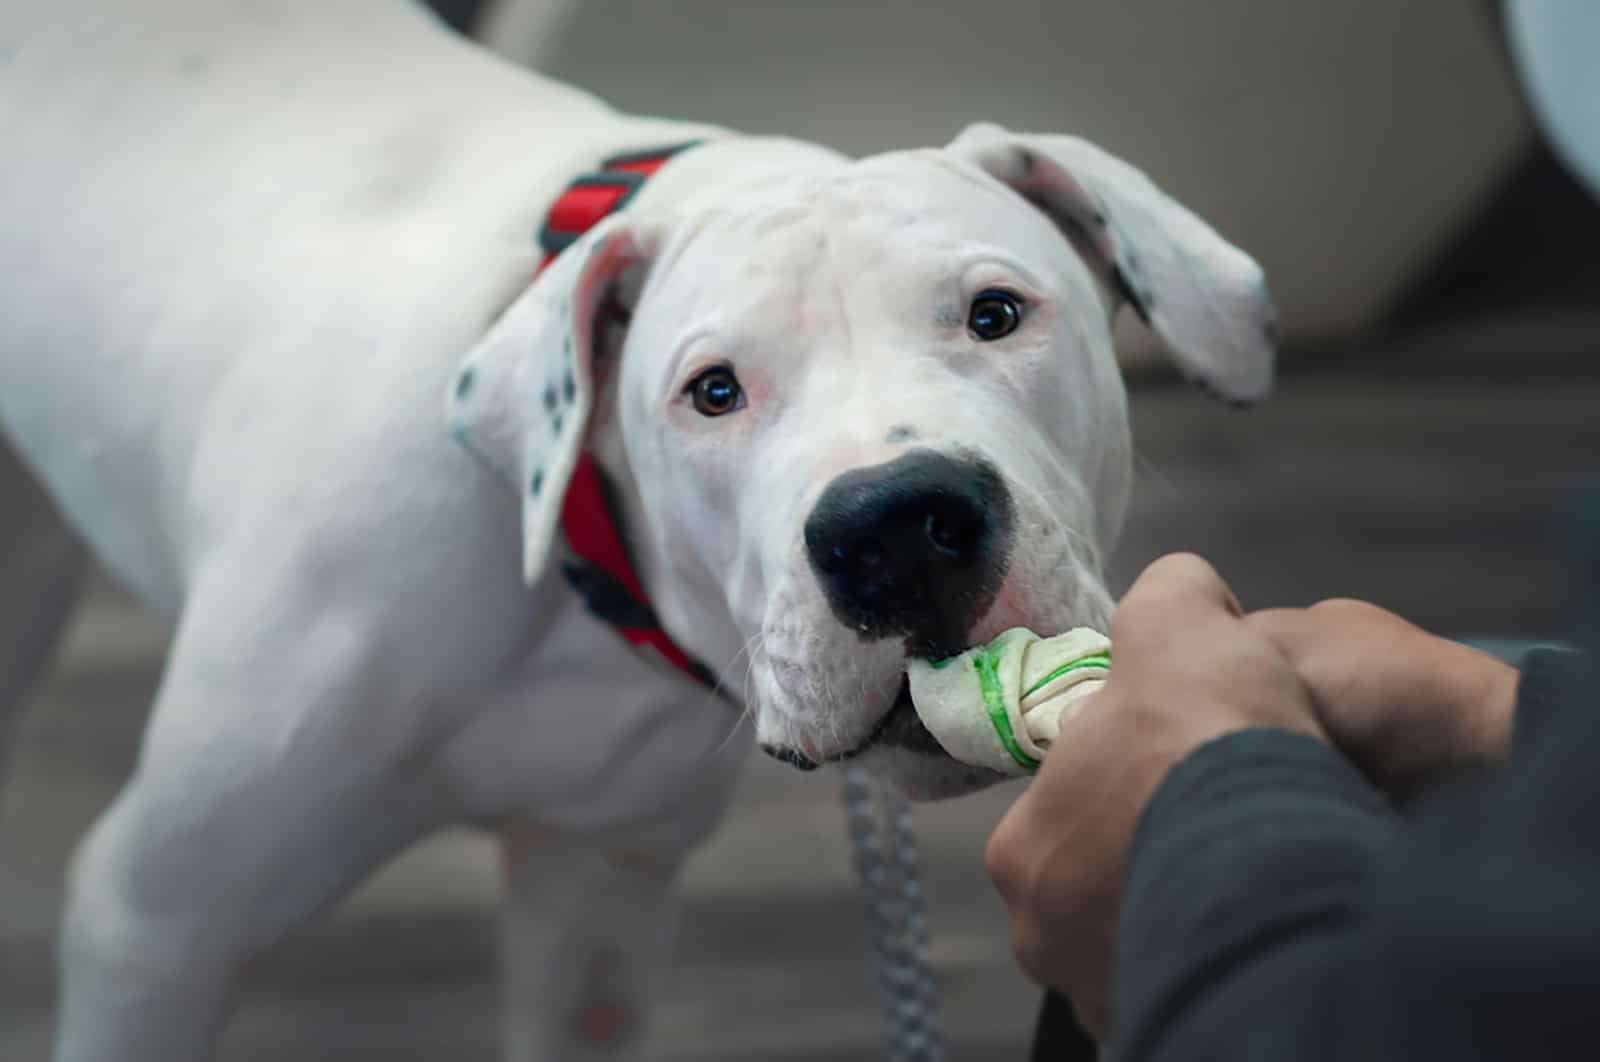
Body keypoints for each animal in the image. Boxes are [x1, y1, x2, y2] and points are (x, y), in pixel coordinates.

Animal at [0, 2, 1273, 1062]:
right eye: (712, 392)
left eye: (996, 315)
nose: (897, 527)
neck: (567, 551)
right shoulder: (159, 925)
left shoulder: (597, 894)